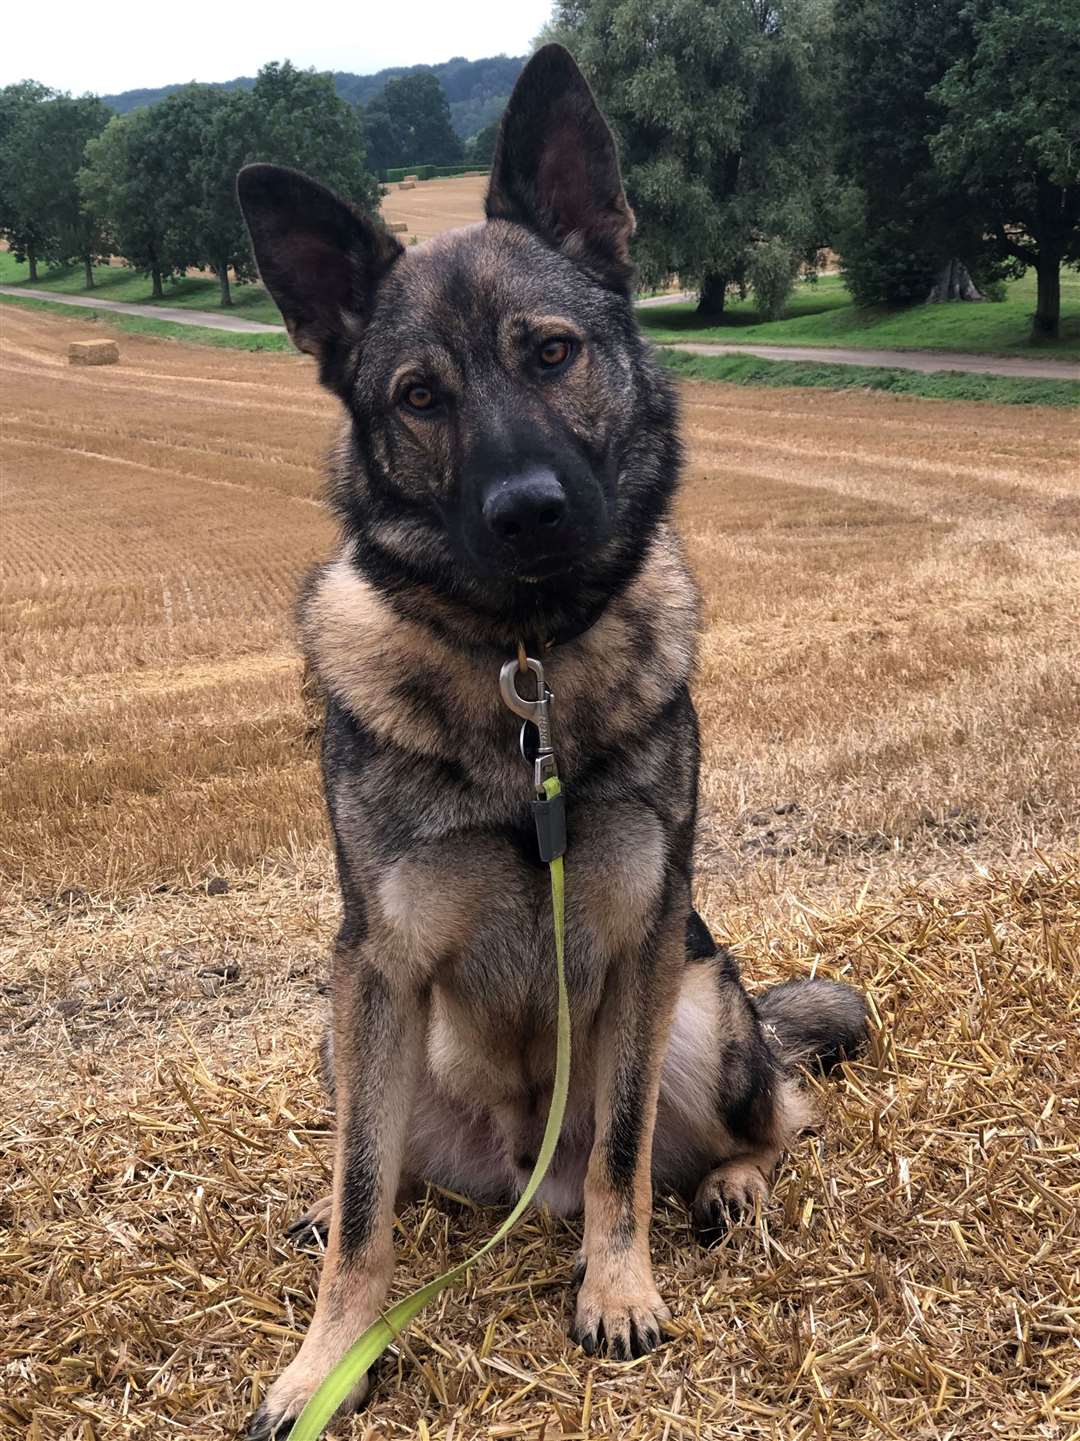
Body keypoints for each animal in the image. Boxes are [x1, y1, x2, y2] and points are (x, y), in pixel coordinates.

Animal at [240, 42, 865, 1429]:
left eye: (553, 352)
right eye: (421, 396)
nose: (527, 511)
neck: (520, 667)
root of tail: (528, 1160)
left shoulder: (642, 935)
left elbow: (629, 1149)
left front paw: (616, 1286)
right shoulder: (376, 962)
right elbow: (365, 1205)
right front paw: (326, 1357)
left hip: (703, 1005)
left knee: (775, 1114)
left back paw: (729, 1183)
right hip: (344, 1032)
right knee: (381, 1172)